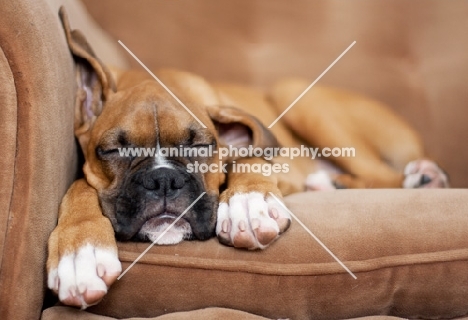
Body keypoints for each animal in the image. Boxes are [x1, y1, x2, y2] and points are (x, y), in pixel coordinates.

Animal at [48, 6, 450, 308]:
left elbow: (248, 160)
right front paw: (80, 254)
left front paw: (247, 204)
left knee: (381, 174)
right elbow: (79, 187)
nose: (163, 180)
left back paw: (418, 177)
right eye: (112, 151)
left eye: (201, 148)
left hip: (298, 95)